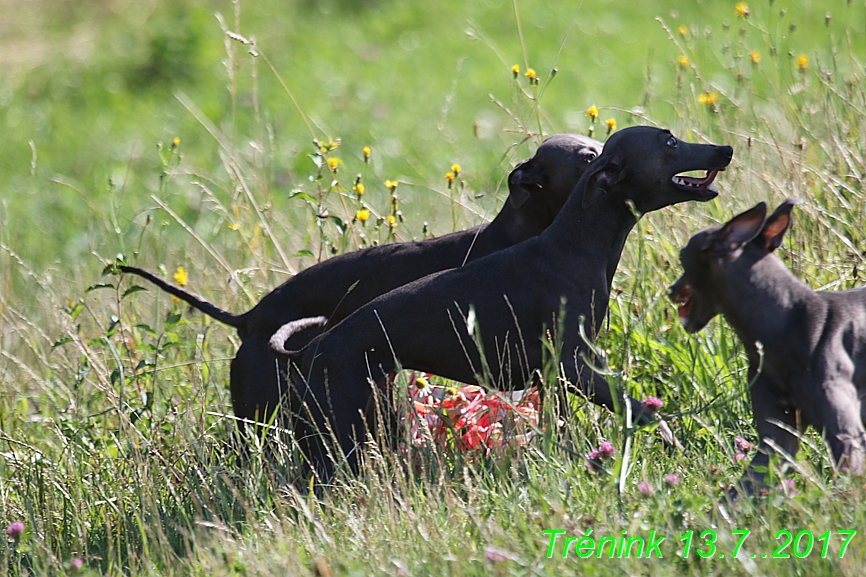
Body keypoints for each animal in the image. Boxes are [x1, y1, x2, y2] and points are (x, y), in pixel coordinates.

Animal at [274, 126, 732, 472]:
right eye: (669, 141)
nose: (725, 149)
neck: (575, 244)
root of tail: (307, 353)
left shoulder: (557, 375)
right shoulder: (573, 366)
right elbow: (637, 407)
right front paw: (671, 440)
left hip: (375, 419)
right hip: (341, 435)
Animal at [668, 199, 864, 490]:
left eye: (682, 254)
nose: (670, 290)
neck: (785, 323)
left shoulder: (847, 437)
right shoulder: (776, 443)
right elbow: (741, 490)